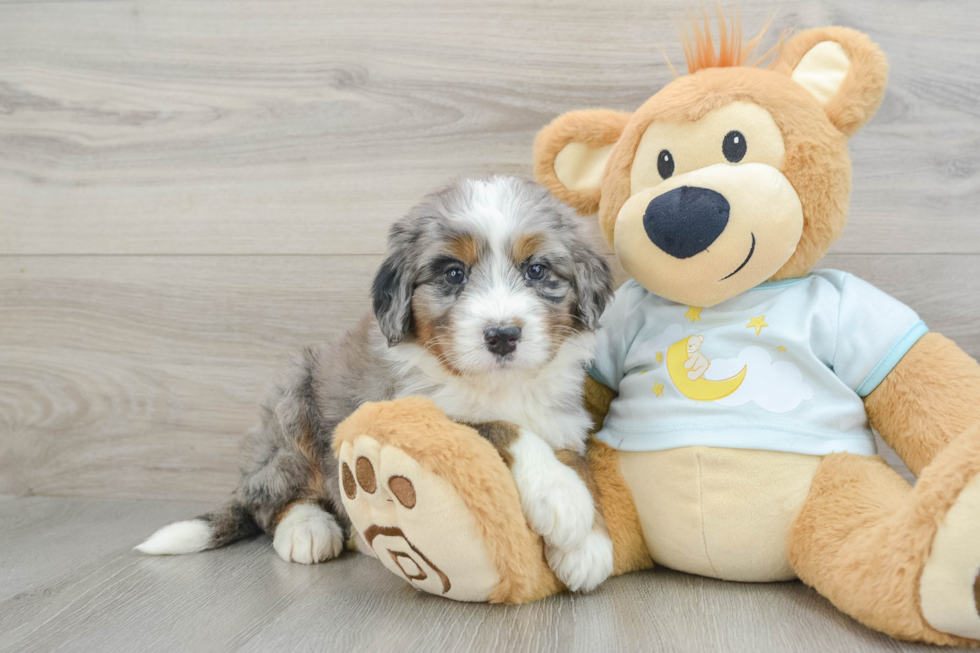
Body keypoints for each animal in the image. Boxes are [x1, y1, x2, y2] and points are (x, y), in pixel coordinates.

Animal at [138, 173, 612, 592]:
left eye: (537, 270)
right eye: (453, 274)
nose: (502, 336)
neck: (499, 384)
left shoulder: (565, 421)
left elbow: (580, 463)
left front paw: (589, 544)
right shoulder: (411, 415)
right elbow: (502, 428)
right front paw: (562, 497)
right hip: (291, 402)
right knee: (273, 498)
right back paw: (309, 529)